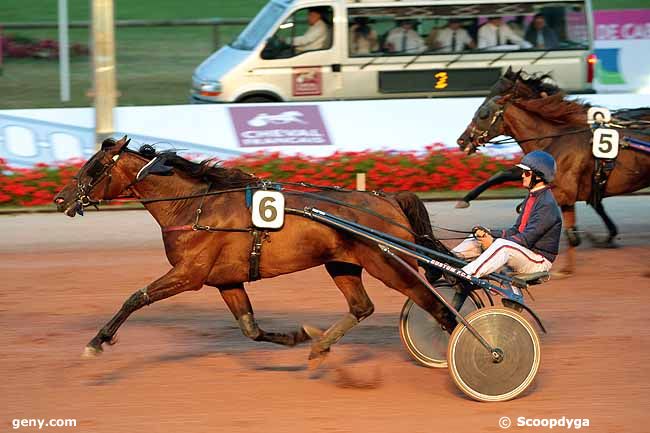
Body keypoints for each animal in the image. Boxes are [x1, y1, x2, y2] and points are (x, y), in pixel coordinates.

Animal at [53, 137, 454, 366]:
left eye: (95, 167)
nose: (60, 199)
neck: (193, 206)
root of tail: (387, 199)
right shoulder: (226, 281)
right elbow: (251, 328)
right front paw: (298, 337)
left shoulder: (188, 274)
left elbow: (135, 297)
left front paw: (97, 342)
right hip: (342, 264)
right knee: (362, 307)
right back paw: (320, 346)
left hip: (389, 265)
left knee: (437, 308)